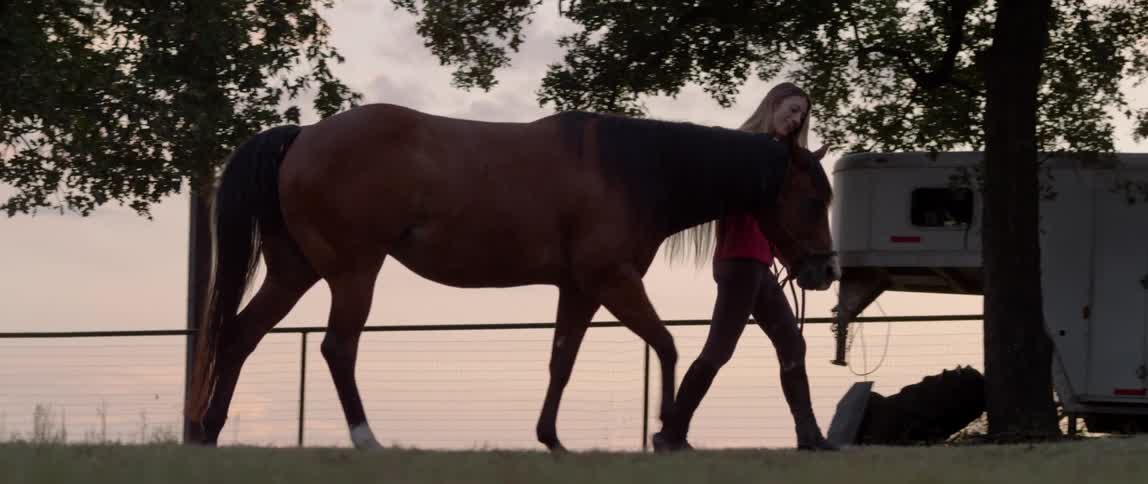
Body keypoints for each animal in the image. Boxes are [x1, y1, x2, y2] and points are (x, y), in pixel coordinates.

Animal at [183, 102, 838, 452]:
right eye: (812, 200)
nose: (826, 271)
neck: (632, 170)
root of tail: (301, 136)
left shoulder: (580, 288)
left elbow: (562, 360)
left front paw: (551, 436)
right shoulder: (612, 279)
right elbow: (669, 344)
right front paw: (667, 430)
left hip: (295, 271)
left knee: (239, 335)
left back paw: (209, 432)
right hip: (353, 271)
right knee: (337, 348)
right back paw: (366, 438)